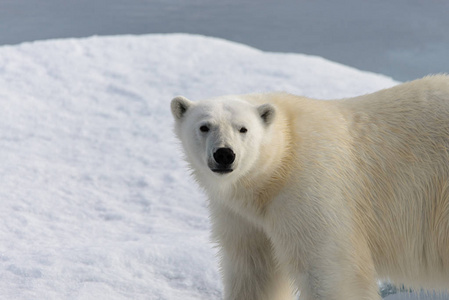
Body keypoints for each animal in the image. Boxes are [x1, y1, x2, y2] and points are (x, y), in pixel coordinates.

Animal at [169, 74, 448, 298]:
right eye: (204, 126)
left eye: (243, 129)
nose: (225, 154)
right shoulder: (242, 217)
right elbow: (254, 272)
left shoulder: (310, 189)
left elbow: (332, 271)